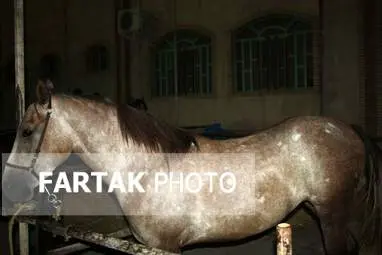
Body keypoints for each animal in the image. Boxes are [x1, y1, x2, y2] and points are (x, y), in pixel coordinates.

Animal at [1, 78, 380, 254]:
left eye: (26, 131)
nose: (9, 189)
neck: (148, 170)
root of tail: (347, 129)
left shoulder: (166, 247)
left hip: (331, 217)